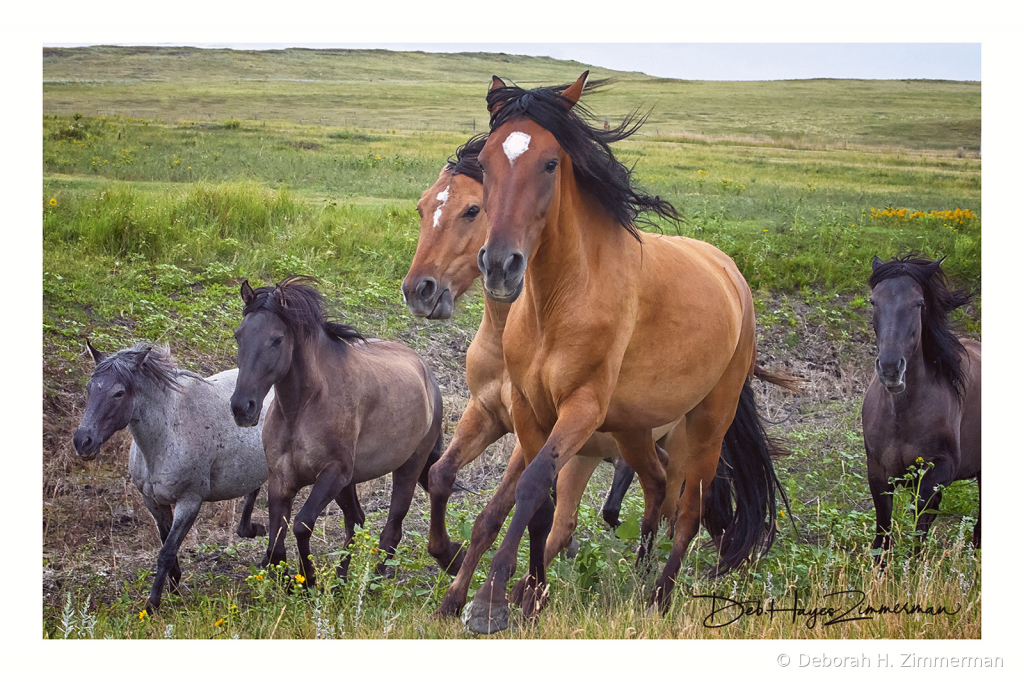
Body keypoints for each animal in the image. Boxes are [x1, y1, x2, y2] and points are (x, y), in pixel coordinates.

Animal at [72, 342, 276, 606]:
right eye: (89, 388)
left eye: (118, 393)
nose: (82, 441)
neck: (168, 433)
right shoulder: (154, 502)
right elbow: (166, 544)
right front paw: (174, 586)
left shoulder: (189, 502)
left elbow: (167, 552)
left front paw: (153, 603)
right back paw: (254, 532)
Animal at [230, 274, 442, 585]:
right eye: (239, 336)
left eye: (277, 339)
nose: (241, 408)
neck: (300, 409)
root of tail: (427, 373)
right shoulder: (281, 479)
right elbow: (276, 542)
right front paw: (289, 580)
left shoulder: (332, 475)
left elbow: (301, 525)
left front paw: (308, 580)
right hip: (349, 483)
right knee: (356, 520)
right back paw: (341, 582)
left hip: (408, 468)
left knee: (392, 530)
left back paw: (371, 585)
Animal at [444, 71, 786, 630]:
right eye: (488, 161)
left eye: (550, 162)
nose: (499, 266)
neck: (559, 300)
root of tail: (732, 274)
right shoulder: (529, 409)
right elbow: (542, 505)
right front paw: (528, 595)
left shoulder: (581, 409)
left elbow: (532, 487)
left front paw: (492, 600)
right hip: (634, 427)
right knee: (656, 486)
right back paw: (640, 572)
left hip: (708, 421)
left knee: (688, 510)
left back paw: (659, 598)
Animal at [864, 251, 983, 557]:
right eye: (874, 301)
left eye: (918, 303)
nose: (891, 369)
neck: (901, 414)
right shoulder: (878, 472)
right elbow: (883, 532)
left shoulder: (939, 470)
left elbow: (920, 522)